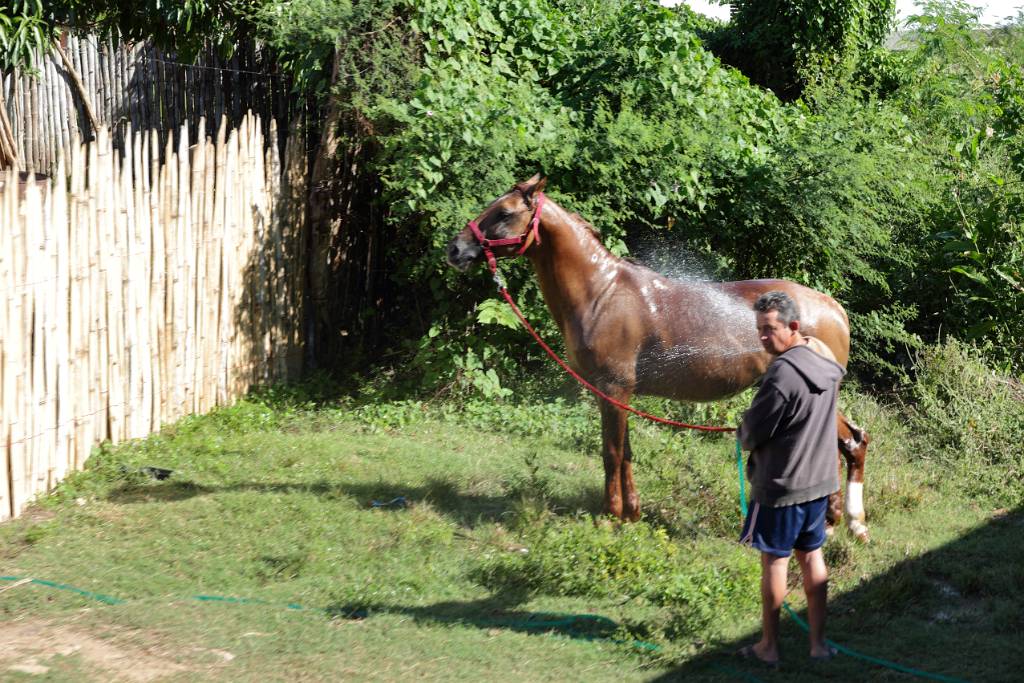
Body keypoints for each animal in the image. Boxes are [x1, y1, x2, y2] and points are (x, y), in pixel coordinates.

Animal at [444, 175, 868, 540]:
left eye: (504, 212)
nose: (455, 249)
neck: (602, 294)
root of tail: (833, 307)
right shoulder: (618, 393)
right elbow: (627, 452)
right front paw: (631, 513)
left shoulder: (613, 387)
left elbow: (611, 452)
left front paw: (610, 515)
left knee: (851, 443)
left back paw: (849, 523)